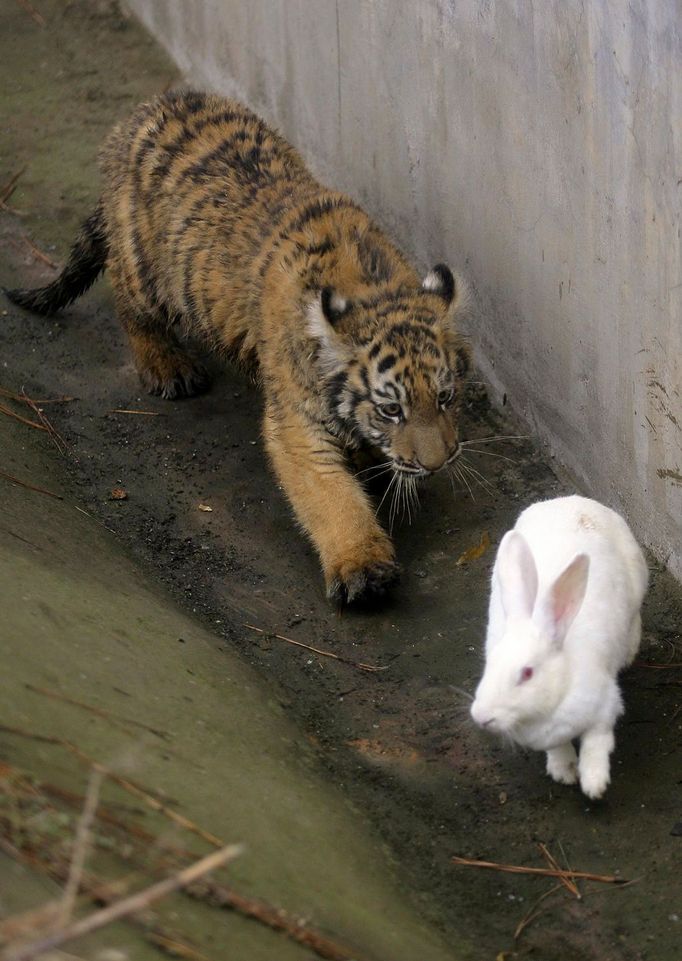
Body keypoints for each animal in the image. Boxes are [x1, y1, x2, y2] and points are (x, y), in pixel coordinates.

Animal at [470, 496, 644, 796]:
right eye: (489, 664)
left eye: (527, 673)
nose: (481, 717)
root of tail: (572, 500)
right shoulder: (550, 737)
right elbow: (558, 747)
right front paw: (564, 771)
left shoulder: (604, 707)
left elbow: (597, 743)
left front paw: (594, 784)